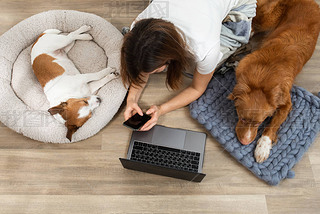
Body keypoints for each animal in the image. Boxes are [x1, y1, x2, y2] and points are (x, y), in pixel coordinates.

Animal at [228, 0, 320, 162]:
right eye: (243, 119)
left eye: (259, 123)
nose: (245, 142)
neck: (264, 75)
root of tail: (312, 2)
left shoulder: (286, 102)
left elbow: (273, 125)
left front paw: (263, 147)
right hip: (267, 19)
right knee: (252, 21)